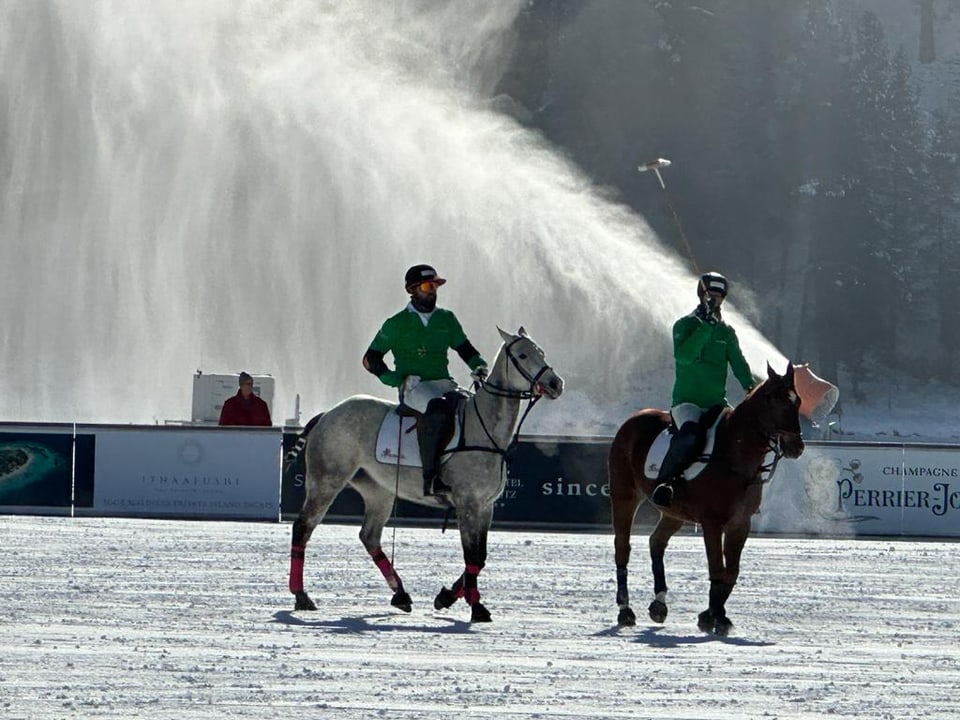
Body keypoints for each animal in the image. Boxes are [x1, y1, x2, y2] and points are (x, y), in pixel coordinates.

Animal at [288, 330, 568, 620]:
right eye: (522, 355)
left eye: (541, 352)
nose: (556, 383)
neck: (484, 429)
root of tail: (325, 415)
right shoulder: (467, 503)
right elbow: (472, 556)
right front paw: (476, 607)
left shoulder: (485, 505)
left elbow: (480, 557)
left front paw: (446, 597)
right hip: (326, 480)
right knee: (303, 527)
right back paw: (301, 595)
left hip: (378, 491)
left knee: (369, 536)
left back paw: (400, 594)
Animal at [612, 362, 808, 632]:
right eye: (775, 400)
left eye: (797, 400)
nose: (796, 447)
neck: (736, 456)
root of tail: (632, 419)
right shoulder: (712, 522)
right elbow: (717, 568)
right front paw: (715, 616)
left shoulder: (740, 523)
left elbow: (731, 572)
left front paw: (713, 615)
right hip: (624, 496)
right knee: (622, 547)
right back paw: (625, 610)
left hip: (674, 512)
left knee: (656, 542)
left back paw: (659, 604)